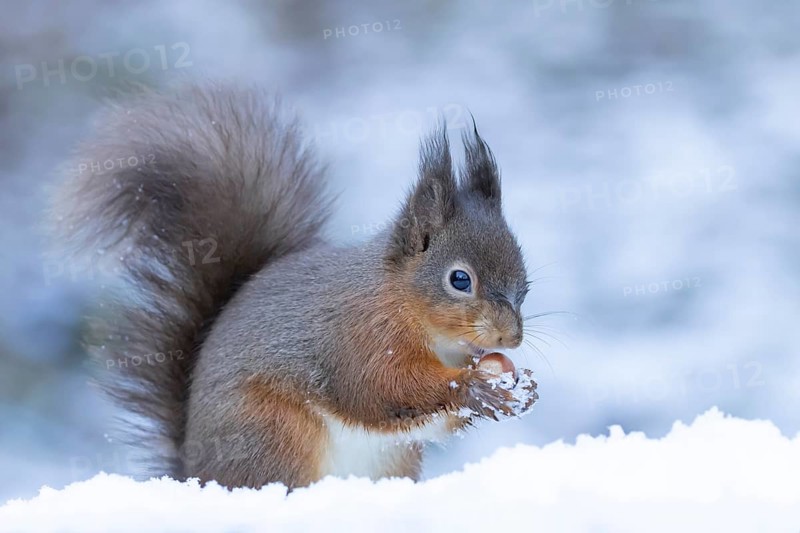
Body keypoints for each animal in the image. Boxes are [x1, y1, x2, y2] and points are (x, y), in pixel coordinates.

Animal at [51, 82, 538, 490]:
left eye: (525, 282)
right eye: (460, 279)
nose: (510, 337)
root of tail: (195, 476)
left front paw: (518, 388)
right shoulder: (357, 339)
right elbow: (384, 388)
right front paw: (476, 386)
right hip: (272, 433)